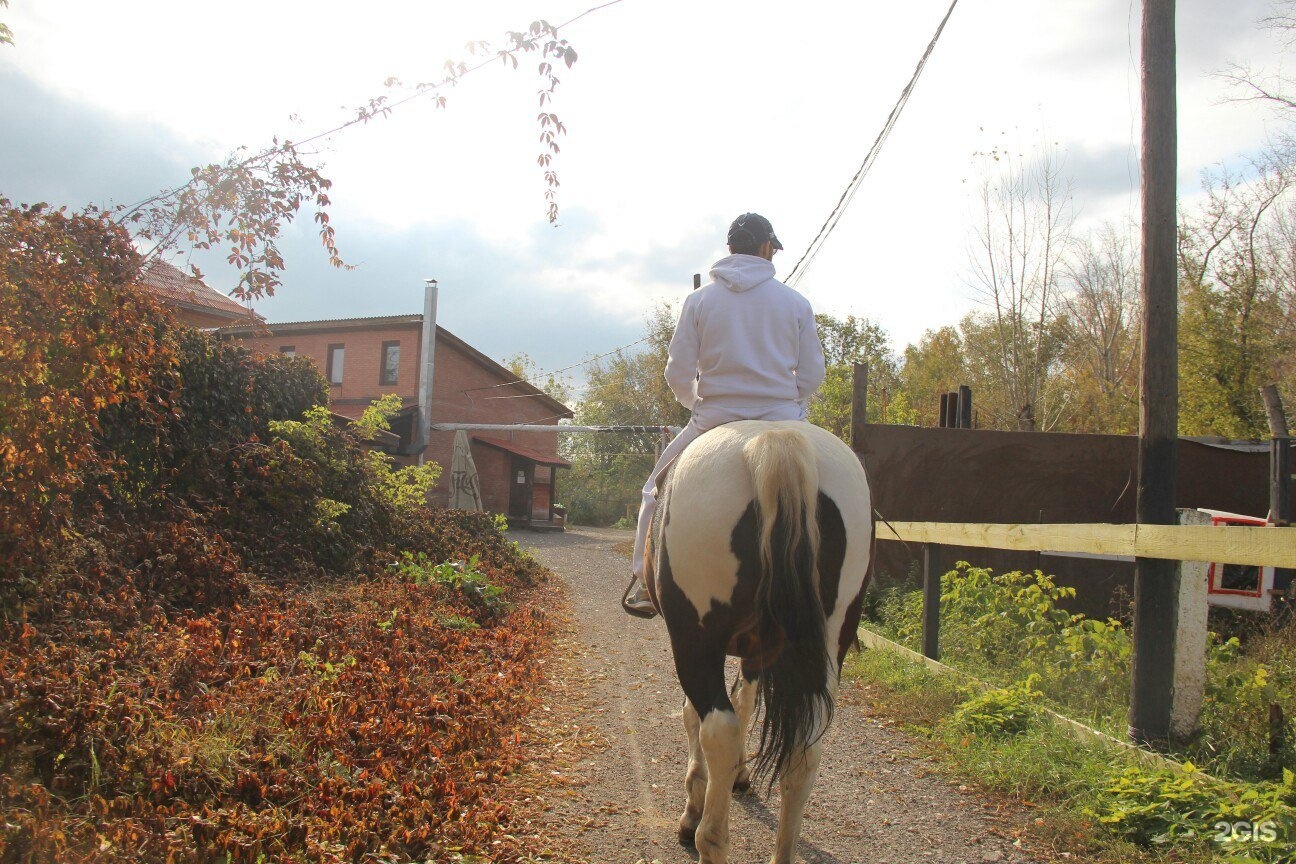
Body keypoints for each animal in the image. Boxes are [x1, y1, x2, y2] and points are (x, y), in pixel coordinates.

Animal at [645, 419, 876, 864]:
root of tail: (775, 441)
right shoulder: (756, 651)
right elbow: (746, 701)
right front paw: (739, 773)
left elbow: (698, 716)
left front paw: (695, 804)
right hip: (829, 643)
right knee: (805, 749)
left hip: (694, 640)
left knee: (718, 729)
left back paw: (707, 835)